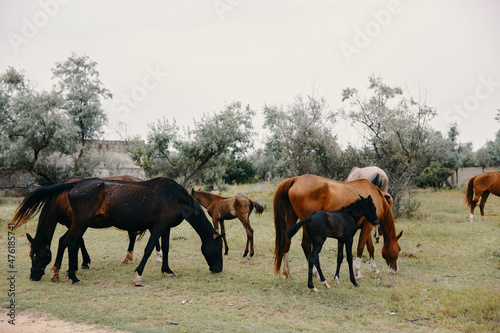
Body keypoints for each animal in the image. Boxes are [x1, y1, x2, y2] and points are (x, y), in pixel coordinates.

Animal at [10, 176, 223, 286]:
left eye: (36, 255)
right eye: (219, 248)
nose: (218, 269)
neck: (176, 197)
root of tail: (75, 184)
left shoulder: (165, 228)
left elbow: (166, 248)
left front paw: (167, 270)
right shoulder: (158, 227)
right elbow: (148, 249)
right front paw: (138, 276)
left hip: (78, 224)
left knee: (66, 242)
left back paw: (60, 273)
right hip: (80, 223)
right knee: (69, 242)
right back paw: (72, 276)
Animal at [274, 174, 402, 280]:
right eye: (399, 249)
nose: (395, 270)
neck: (376, 196)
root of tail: (295, 179)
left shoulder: (366, 226)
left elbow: (370, 247)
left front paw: (374, 269)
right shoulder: (368, 226)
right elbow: (360, 247)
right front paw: (358, 272)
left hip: (292, 219)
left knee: (286, 242)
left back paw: (287, 273)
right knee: (305, 245)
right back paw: (316, 273)